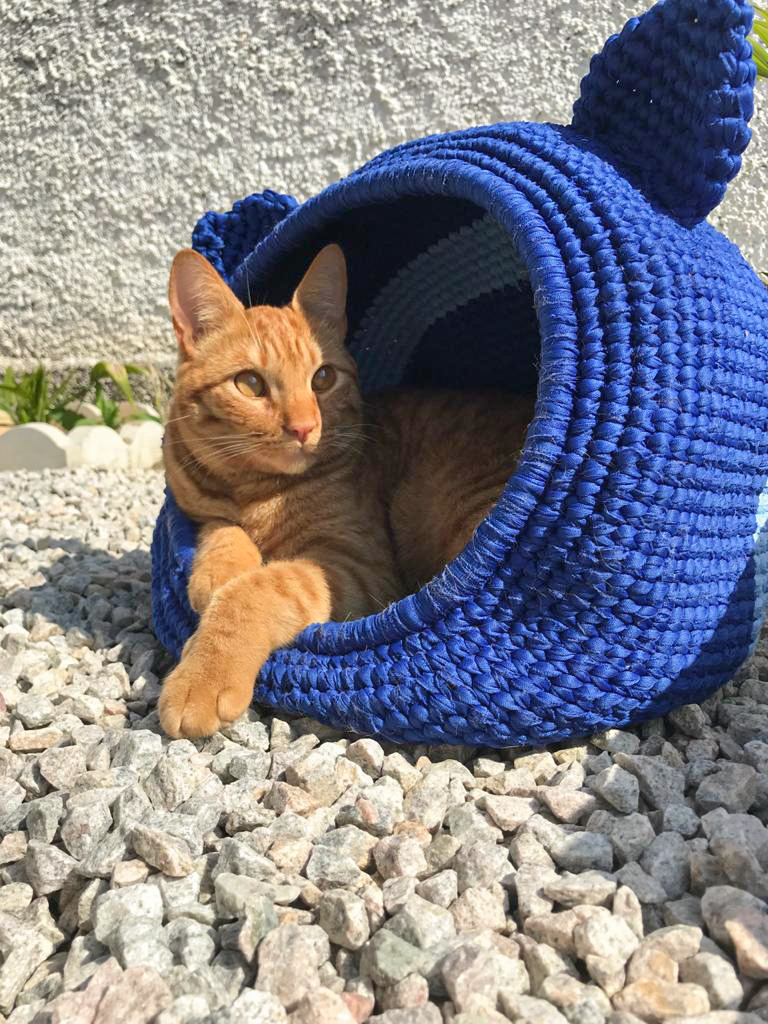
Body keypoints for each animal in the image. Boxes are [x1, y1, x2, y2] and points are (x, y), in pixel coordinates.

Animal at [160, 241, 536, 737]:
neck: (256, 491)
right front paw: (218, 570)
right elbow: (221, 528)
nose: (304, 427)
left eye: (322, 378)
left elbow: (260, 589)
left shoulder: (357, 565)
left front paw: (202, 677)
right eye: (250, 383)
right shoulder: (194, 501)